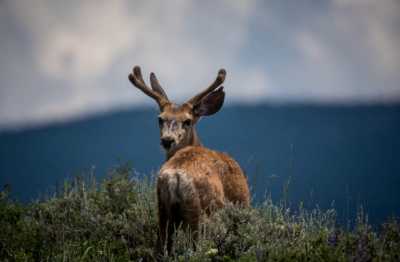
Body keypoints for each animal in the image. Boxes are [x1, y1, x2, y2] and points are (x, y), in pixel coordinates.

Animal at [128, 65, 248, 254]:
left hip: (163, 210)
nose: (167, 140)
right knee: (197, 248)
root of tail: (175, 177)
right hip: (200, 213)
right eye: (160, 119)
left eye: (187, 121)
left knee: (162, 248)